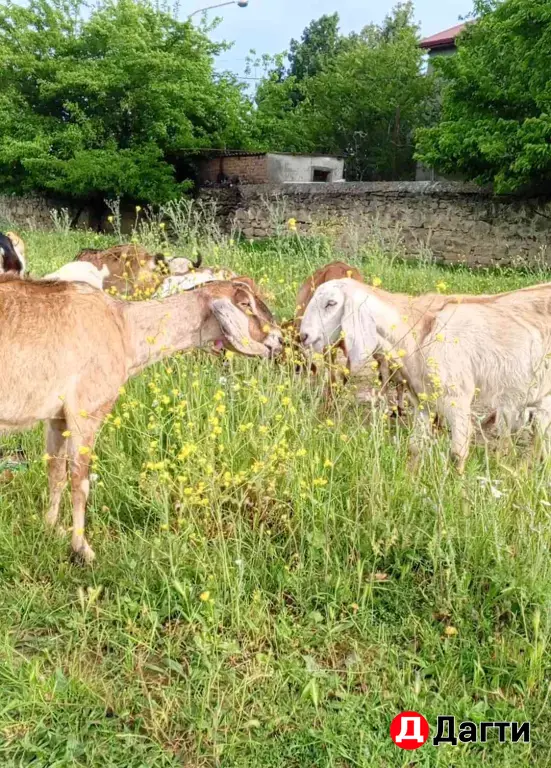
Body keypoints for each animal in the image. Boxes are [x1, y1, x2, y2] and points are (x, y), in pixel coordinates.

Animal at [0, 276, 282, 563]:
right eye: (246, 304)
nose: (279, 339)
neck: (124, 328)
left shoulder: (58, 417)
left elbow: (56, 473)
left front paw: (50, 527)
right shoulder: (87, 410)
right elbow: (80, 482)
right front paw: (82, 549)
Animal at [301, 278, 551, 473]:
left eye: (331, 303)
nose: (304, 336)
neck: (419, 331)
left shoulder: (457, 399)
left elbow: (457, 454)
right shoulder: (422, 401)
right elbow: (414, 448)